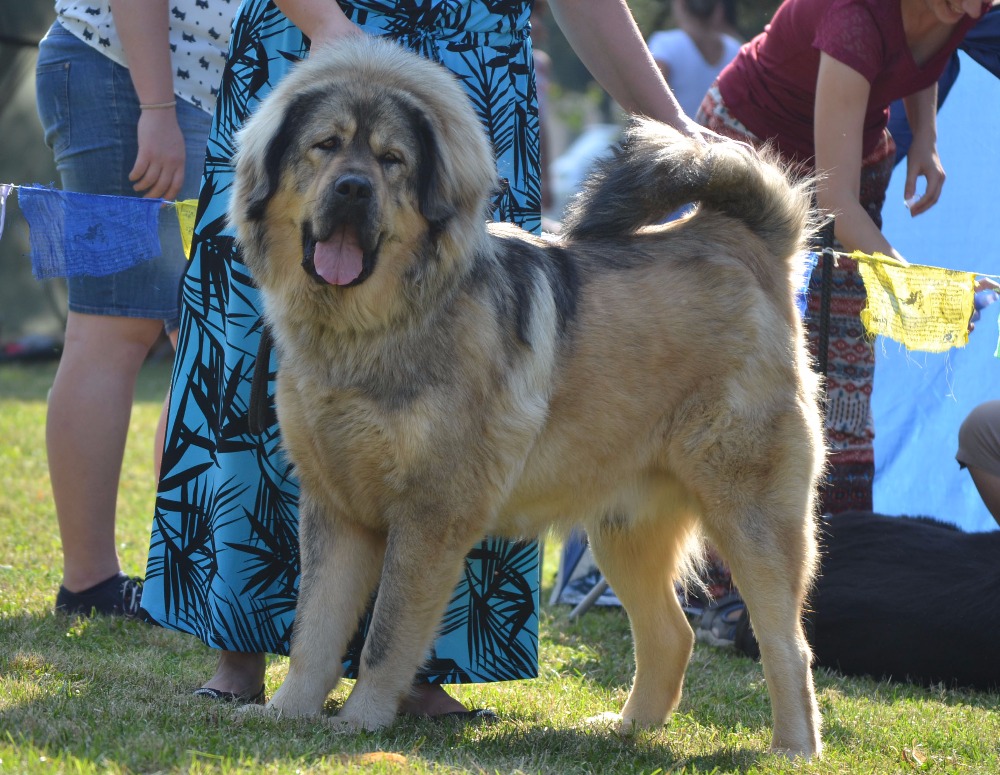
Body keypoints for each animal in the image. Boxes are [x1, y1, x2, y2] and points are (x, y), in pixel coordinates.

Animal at [230, 38, 824, 756]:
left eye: (391, 160)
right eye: (325, 146)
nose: (352, 188)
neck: (374, 329)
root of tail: (741, 239)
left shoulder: (429, 516)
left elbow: (384, 639)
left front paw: (362, 722)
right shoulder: (336, 509)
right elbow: (312, 631)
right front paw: (287, 713)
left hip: (751, 517)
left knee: (785, 643)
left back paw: (792, 748)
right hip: (622, 527)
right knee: (670, 634)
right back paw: (625, 728)